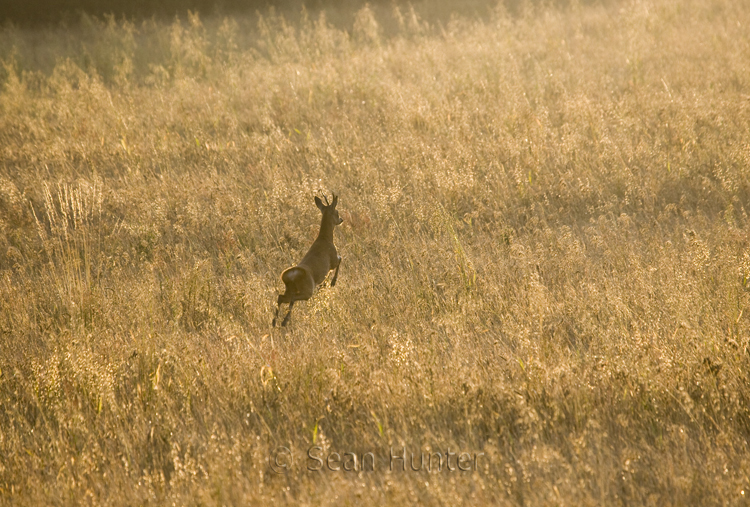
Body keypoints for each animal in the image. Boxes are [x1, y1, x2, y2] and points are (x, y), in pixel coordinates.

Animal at [272, 192, 346, 328]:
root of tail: (291, 274)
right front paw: (332, 282)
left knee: (281, 297)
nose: (341, 219)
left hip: (290, 289)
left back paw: (274, 322)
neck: (325, 238)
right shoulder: (332, 259)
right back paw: (284, 321)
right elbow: (340, 259)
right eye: (337, 212)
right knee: (293, 298)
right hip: (307, 289)